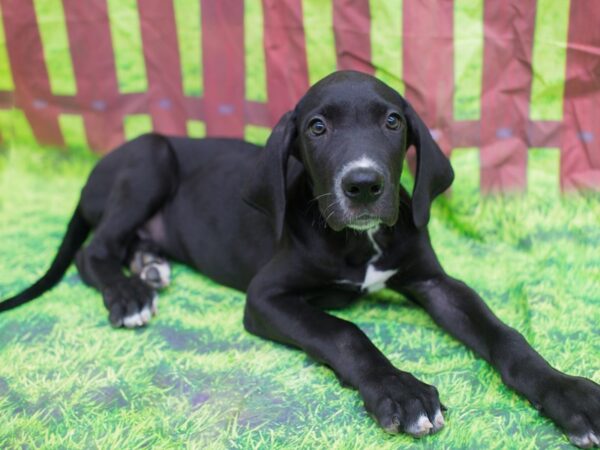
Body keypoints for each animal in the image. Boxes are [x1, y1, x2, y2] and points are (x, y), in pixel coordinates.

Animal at [1, 70, 600, 446]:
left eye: (392, 122)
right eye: (317, 127)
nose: (363, 185)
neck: (361, 241)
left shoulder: (433, 282)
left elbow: (503, 334)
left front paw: (569, 394)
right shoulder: (266, 298)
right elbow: (344, 332)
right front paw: (400, 390)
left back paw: (151, 266)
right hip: (149, 157)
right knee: (94, 250)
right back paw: (129, 294)